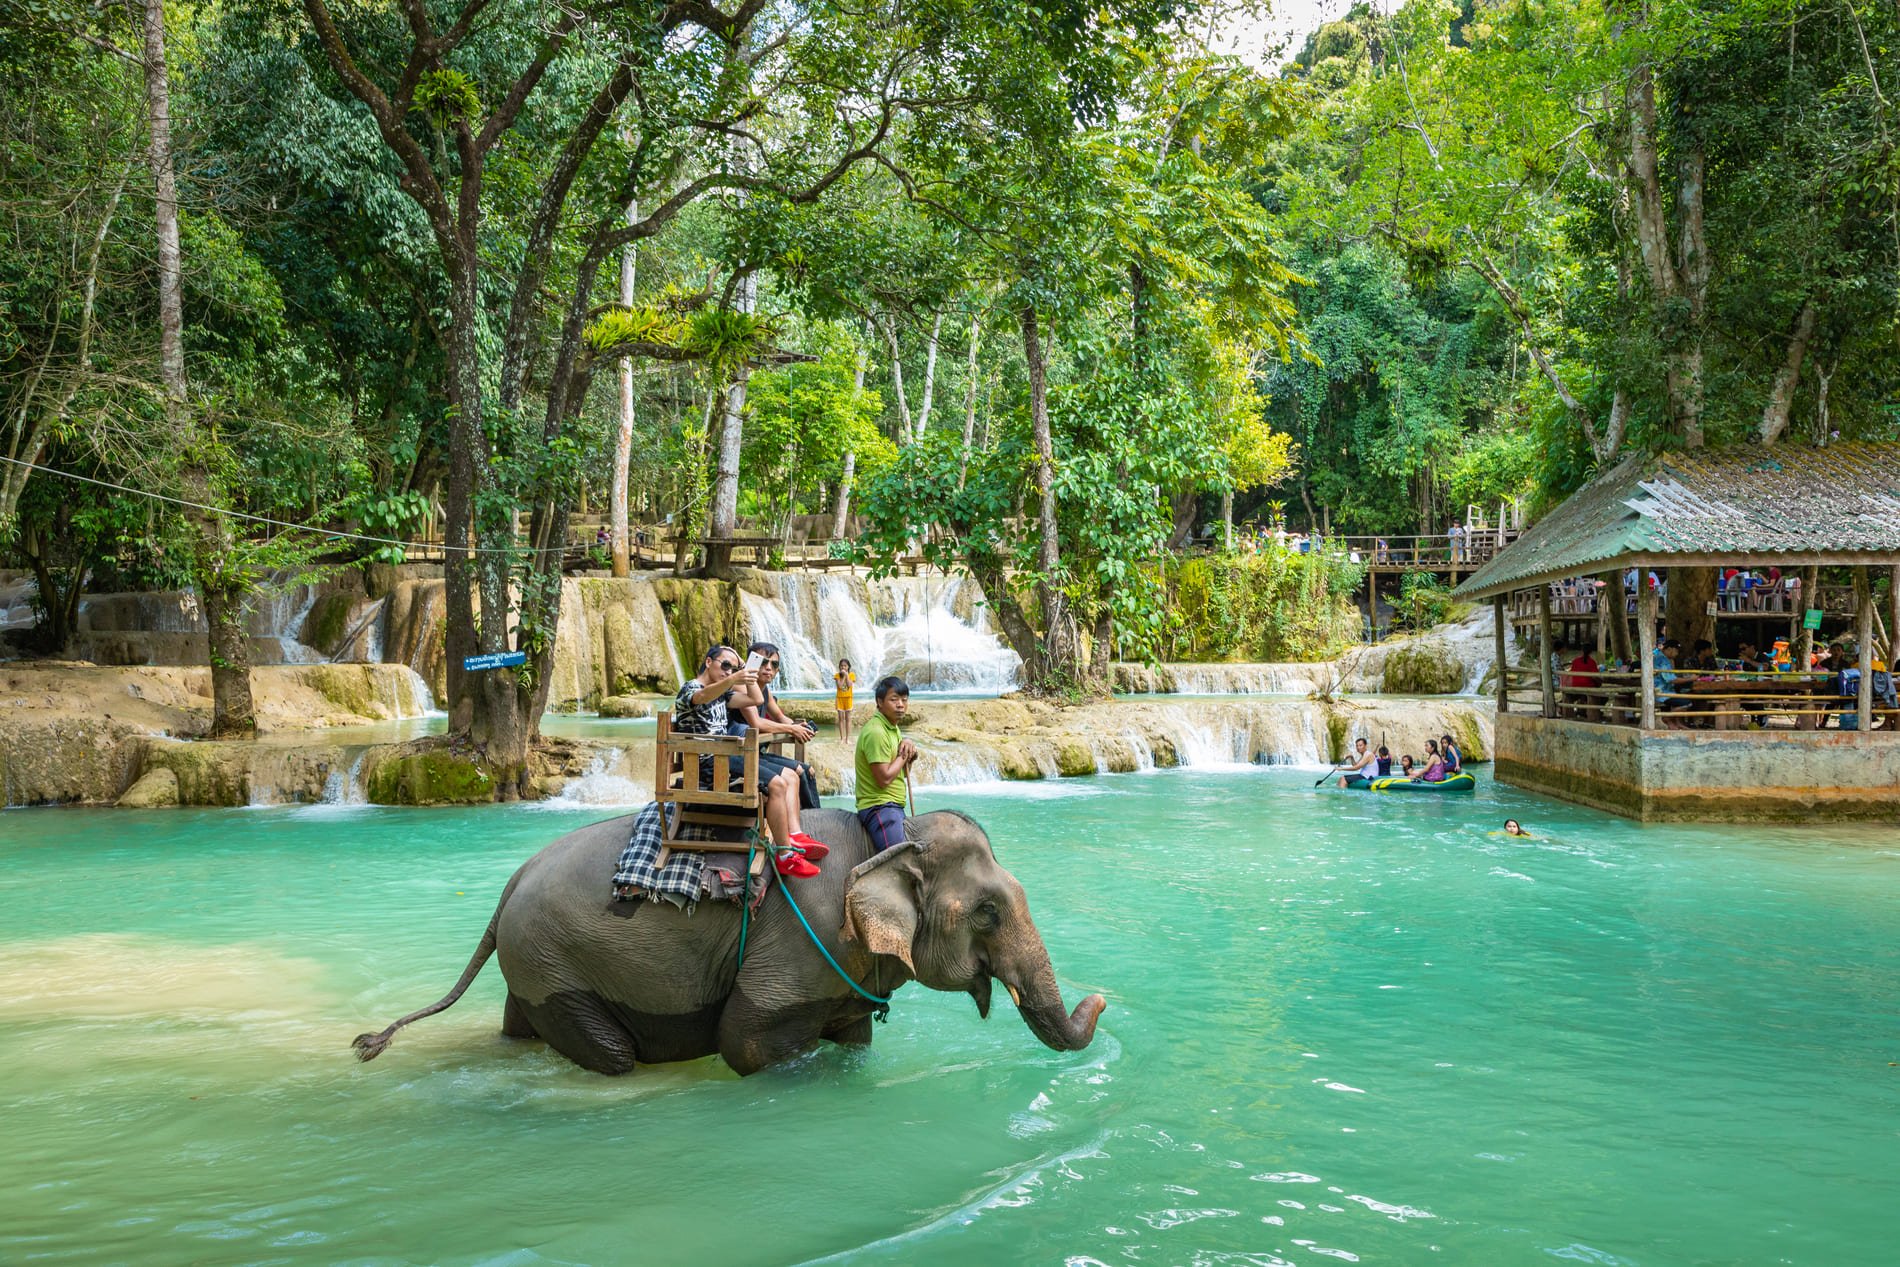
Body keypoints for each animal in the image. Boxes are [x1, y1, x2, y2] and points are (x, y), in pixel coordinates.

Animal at [349, 809, 1109, 1078]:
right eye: (987, 911)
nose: (1103, 997)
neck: (887, 840)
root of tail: (507, 887)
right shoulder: (800, 942)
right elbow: (744, 1041)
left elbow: (856, 1038)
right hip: (551, 958)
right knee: (614, 1056)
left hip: (530, 963)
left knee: (519, 1028)